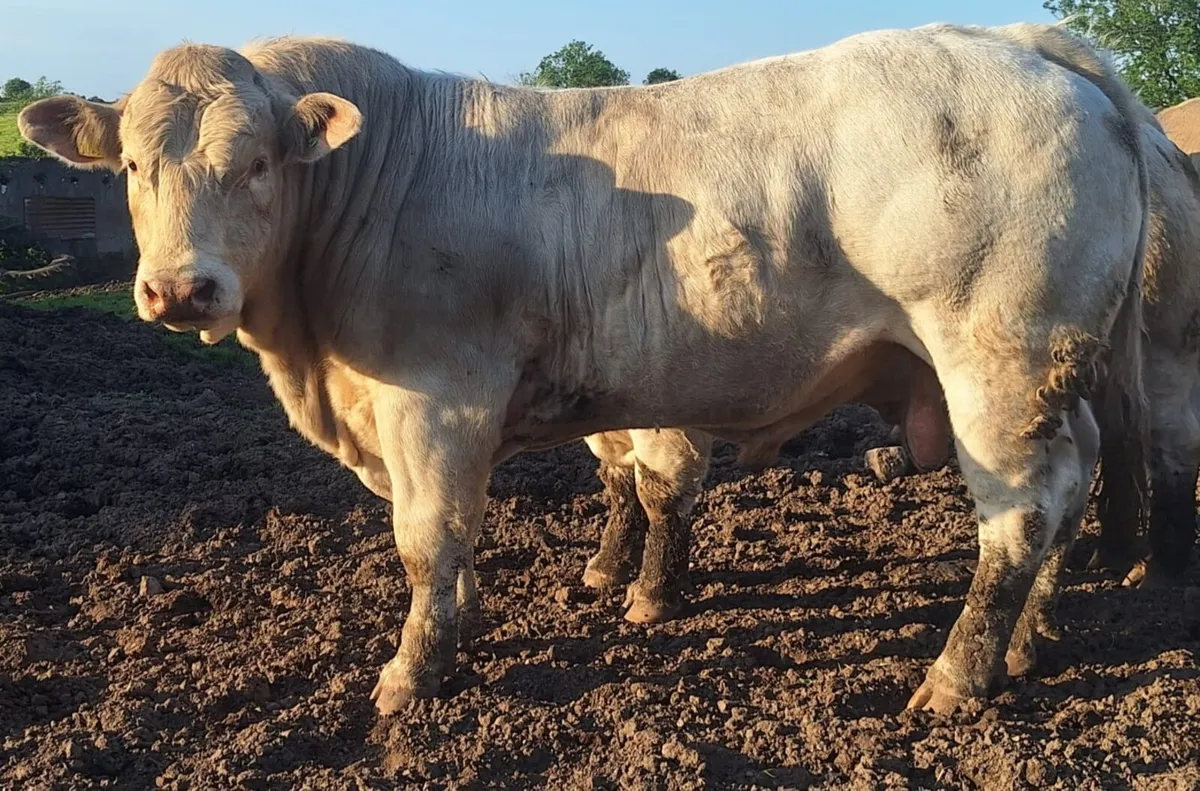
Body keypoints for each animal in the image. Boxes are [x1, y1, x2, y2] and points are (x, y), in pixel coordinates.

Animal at [19, 20, 1151, 717]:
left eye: (255, 162)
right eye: (133, 165)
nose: (181, 289)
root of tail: (1019, 41)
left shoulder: (438, 402)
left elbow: (429, 539)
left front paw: (412, 673)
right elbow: (472, 539)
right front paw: (477, 622)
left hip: (998, 361)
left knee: (1020, 512)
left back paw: (958, 676)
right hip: (1051, 377)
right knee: (1071, 487)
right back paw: (1030, 641)